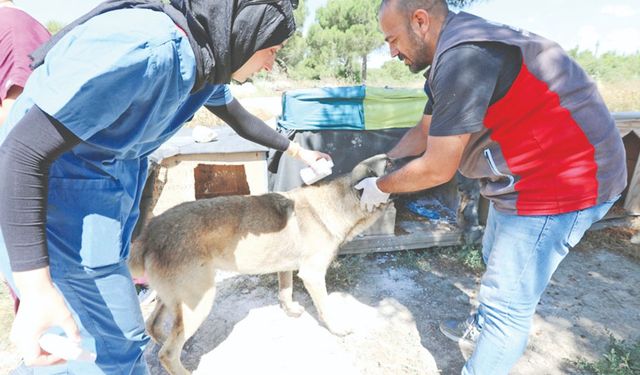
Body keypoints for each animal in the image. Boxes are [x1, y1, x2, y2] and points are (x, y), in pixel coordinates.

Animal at [127, 154, 392, 374]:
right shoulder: (313, 275)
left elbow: (285, 291)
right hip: (199, 301)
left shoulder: (286, 267)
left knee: (154, 327)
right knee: (167, 354)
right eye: (389, 164)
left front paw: (290, 309)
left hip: (172, 300)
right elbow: (326, 308)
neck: (337, 202)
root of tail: (149, 231)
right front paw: (337, 328)